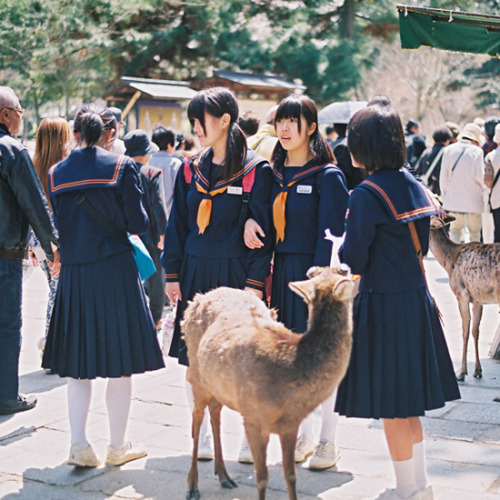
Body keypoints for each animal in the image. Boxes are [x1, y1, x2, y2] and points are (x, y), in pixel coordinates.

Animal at [182, 264, 354, 498]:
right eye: (343, 271)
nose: (344, 266)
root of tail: (198, 298)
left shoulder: (290, 423)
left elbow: (290, 475)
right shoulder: (253, 417)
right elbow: (262, 477)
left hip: (218, 384)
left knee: (215, 410)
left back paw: (224, 476)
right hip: (196, 370)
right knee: (197, 417)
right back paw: (192, 486)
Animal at [428, 216, 500, 382]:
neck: (449, 262)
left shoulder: (461, 294)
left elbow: (465, 331)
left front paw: (461, 373)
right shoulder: (478, 299)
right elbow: (475, 331)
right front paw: (477, 370)